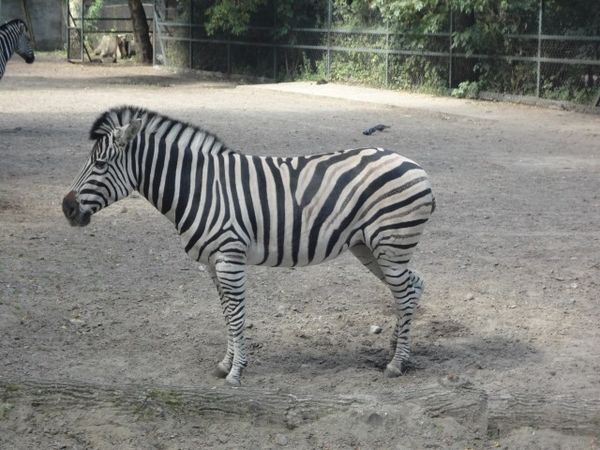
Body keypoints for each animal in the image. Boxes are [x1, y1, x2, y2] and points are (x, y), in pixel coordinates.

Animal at [62, 106, 436, 386]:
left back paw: (396, 363)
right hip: (370, 248)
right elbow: (227, 314)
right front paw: (225, 364)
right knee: (413, 285)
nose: (66, 208)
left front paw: (237, 372)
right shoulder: (212, 264)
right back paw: (397, 347)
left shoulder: (229, 259)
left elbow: (237, 314)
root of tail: (414, 165)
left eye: (99, 164)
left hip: (389, 245)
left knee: (405, 292)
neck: (197, 187)